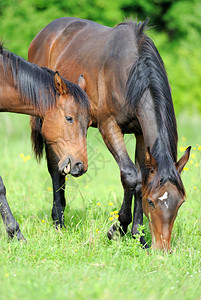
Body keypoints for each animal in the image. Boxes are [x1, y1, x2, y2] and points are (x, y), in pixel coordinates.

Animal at [27, 17, 190, 251]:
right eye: (151, 202)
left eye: (180, 202)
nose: (162, 250)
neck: (130, 74)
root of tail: (43, 33)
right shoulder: (109, 126)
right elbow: (130, 177)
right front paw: (118, 228)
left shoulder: (141, 133)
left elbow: (141, 178)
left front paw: (138, 236)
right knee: (55, 169)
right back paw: (58, 221)